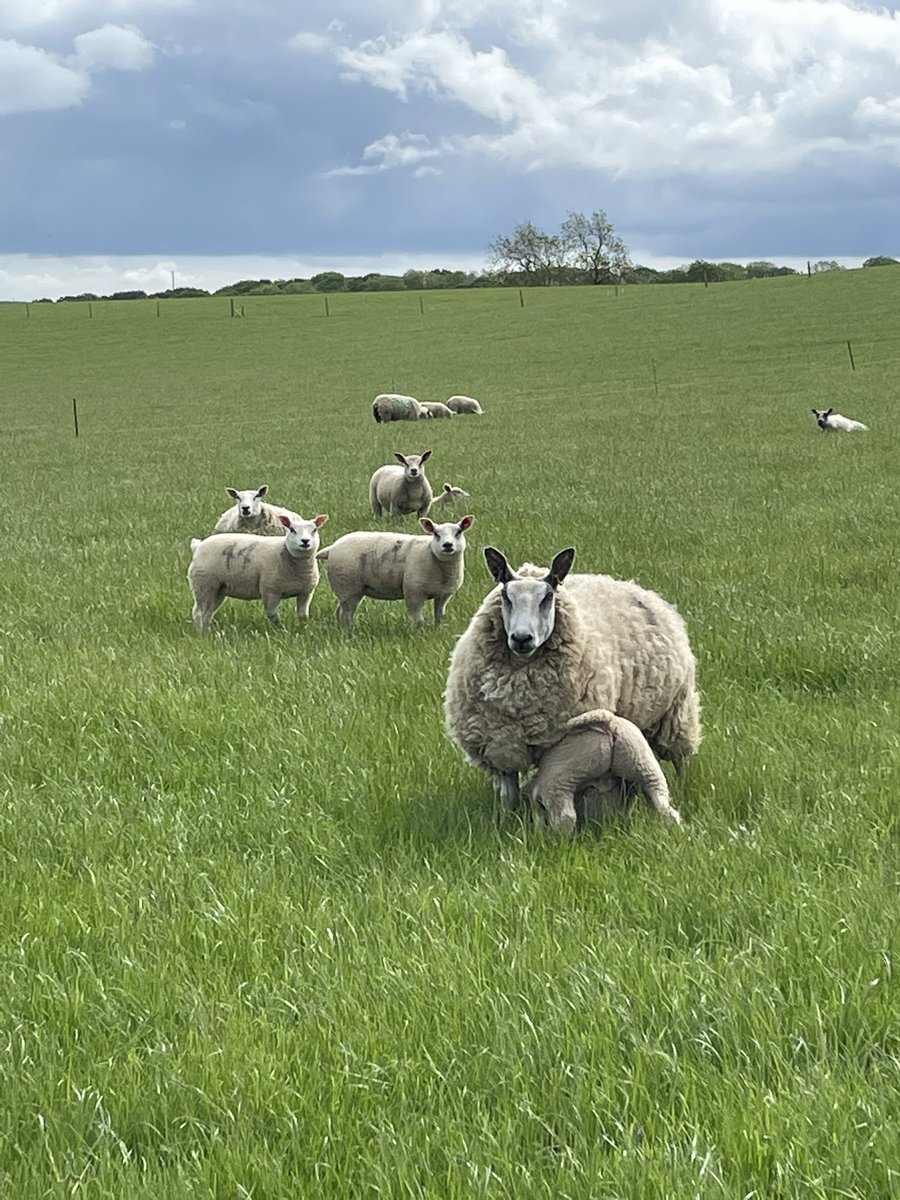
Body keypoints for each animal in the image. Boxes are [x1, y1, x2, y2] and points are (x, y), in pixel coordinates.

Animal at [188, 513, 328, 632]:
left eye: (314, 530)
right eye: (292, 530)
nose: (305, 541)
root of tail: (198, 546)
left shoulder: (306, 592)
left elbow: (303, 615)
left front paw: (303, 629)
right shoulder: (270, 591)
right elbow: (273, 615)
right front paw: (278, 631)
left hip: (218, 589)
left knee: (208, 613)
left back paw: (207, 632)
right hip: (203, 584)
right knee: (198, 613)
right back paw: (201, 634)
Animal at [317, 515, 474, 628]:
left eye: (459, 532)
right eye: (436, 534)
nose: (447, 545)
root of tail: (331, 548)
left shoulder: (444, 595)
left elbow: (439, 616)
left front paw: (437, 630)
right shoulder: (414, 592)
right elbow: (418, 620)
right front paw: (417, 634)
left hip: (348, 590)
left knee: (340, 612)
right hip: (348, 586)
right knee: (346, 614)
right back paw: (350, 631)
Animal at [444, 546, 701, 807]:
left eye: (547, 597)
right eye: (506, 596)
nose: (521, 638)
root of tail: (634, 587)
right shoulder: (500, 743)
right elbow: (509, 795)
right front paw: (509, 814)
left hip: (677, 713)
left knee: (680, 759)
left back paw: (680, 789)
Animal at [521, 709, 682, 836]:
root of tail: (608, 722)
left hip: (561, 778)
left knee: (565, 817)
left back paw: (557, 842)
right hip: (646, 768)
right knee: (667, 811)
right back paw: (674, 835)